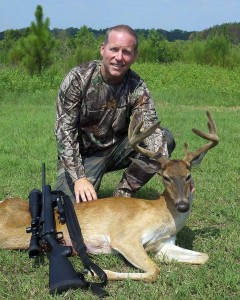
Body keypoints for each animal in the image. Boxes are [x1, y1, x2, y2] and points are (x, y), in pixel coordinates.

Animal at [0, 111, 218, 282]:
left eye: (188, 176)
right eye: (165, 177)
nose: (182, 205)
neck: (163, 214)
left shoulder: (163, 245)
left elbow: (204, 256)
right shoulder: (124, 237)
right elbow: (154, 271)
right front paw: (95, 272)